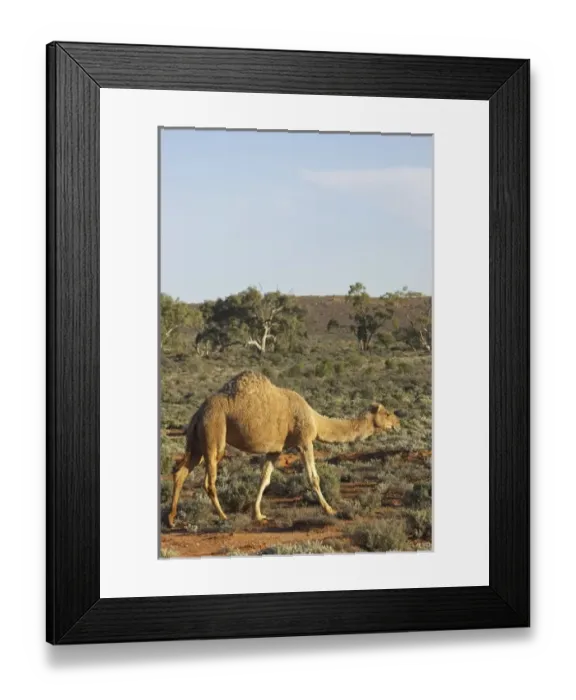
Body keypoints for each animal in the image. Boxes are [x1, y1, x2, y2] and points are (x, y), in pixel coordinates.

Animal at [167, 370, 401, 527]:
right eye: (387, 413)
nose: (398, 423)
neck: (315, 419)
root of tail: (198, 413)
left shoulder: (275, 450)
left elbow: (264, 479)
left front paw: (258, 515)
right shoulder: (304, 441)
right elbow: (313, 477)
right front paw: (330, 509)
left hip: (197, 442)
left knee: (180, 472)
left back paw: (171, 519)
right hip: (214, 434)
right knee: (209, 481)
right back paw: (224, 517)